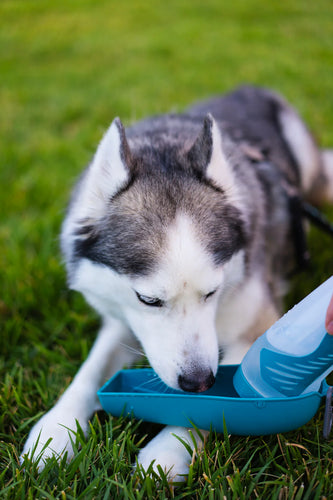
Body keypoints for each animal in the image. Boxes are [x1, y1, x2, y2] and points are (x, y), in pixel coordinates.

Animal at [22, 87, 332, 480]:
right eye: (148, 300)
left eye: (212, 292)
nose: (198, 382)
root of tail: (250, 88)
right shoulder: (122, 320)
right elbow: (89, 372)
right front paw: (54, 431)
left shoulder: (253, 328)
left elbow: (214, 405)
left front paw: (168, 449)